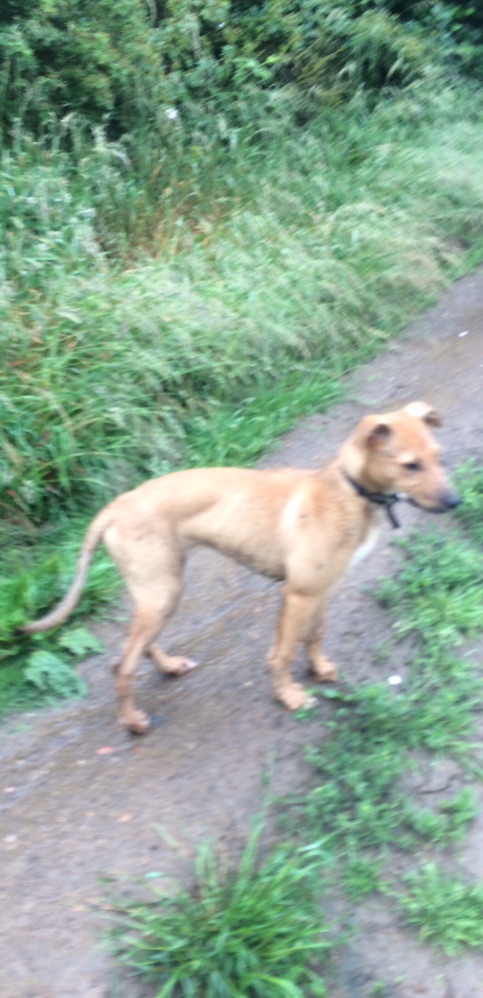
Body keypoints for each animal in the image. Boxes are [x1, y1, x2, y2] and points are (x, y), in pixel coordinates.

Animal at [20, 402, 460, 734]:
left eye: (439, 458)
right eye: (410, 465)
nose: (456, 503)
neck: (348, 493)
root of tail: (114, 507)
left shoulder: (322, 589)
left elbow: (315, 635)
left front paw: (318, 668)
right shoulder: (299, 593)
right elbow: (283, 653)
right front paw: (289, 695)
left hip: (158, 589)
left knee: (138, 646)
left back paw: (169, 666)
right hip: (162, 590)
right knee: (122, 665)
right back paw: (132, 720)